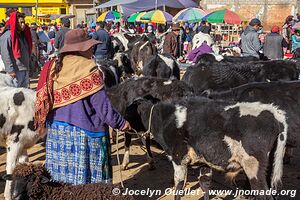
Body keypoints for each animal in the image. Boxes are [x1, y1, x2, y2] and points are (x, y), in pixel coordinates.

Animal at [125, 96, 288, 199]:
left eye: (130, 110)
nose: (124, 121)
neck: (166, 118)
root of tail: (274, 112)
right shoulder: (204, 162)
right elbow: (205, 185)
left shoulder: (178, 158)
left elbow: (178, 187)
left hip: (253, 167)